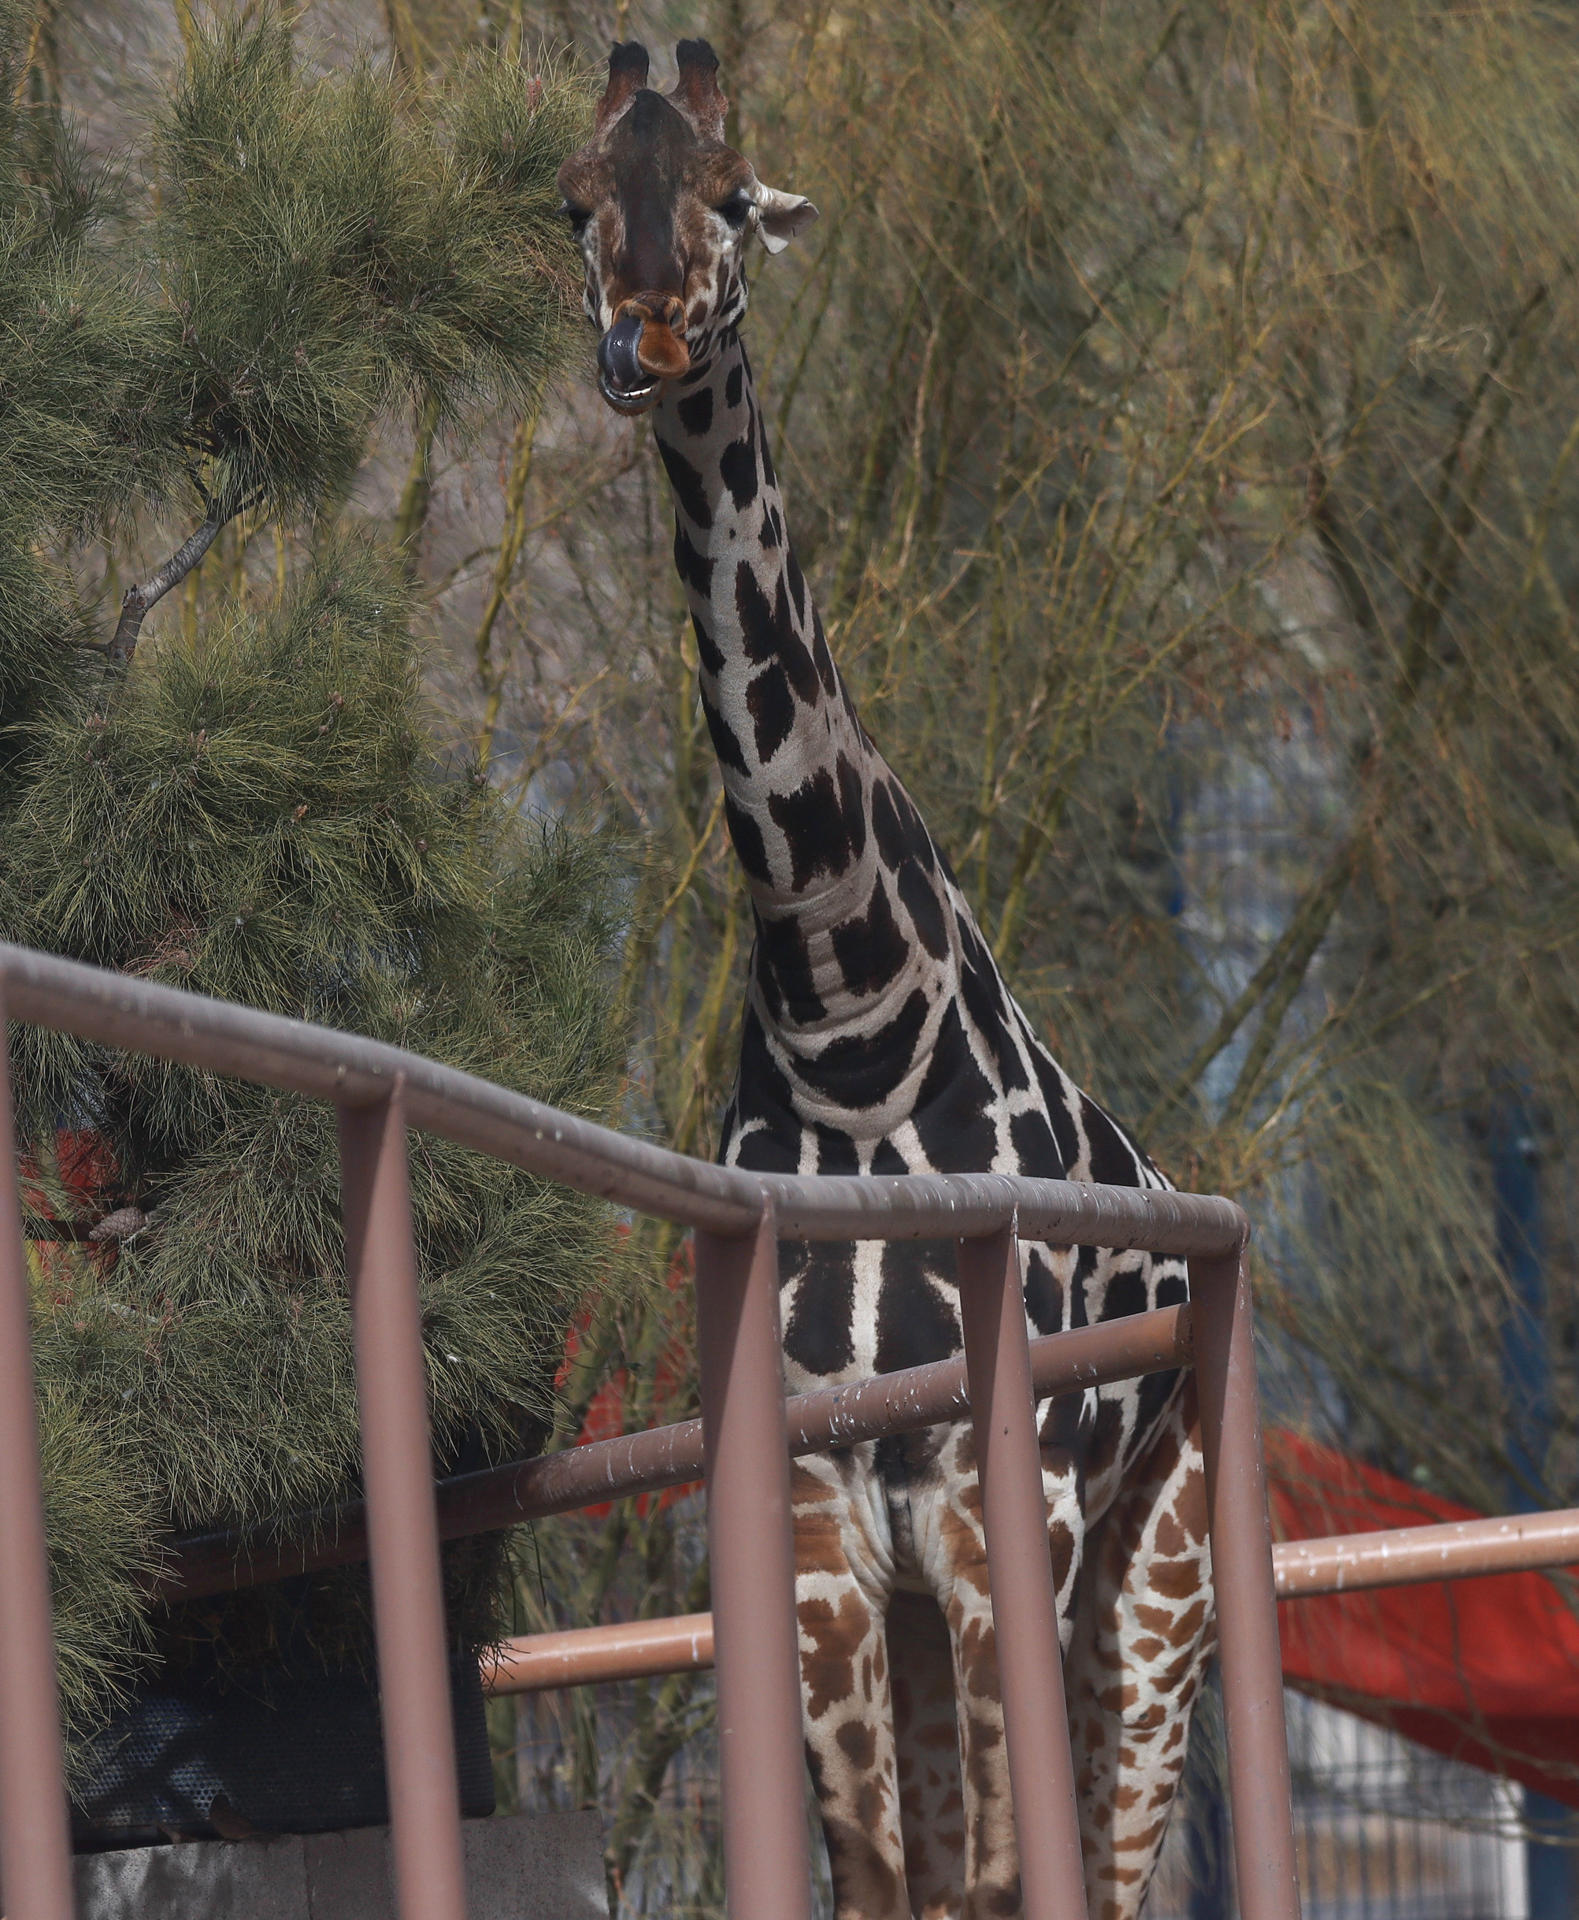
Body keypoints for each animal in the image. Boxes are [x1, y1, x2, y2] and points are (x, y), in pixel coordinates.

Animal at [558, 42, 1216, 1920]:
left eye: (734, 194)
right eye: (575, 200)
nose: (651, 337)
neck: (847, 1017)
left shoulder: (1018, 1513)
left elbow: (1011, 1876)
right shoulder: (821, 1528)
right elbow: (880, 1877)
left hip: (1155, 1579)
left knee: (1112, 1856)